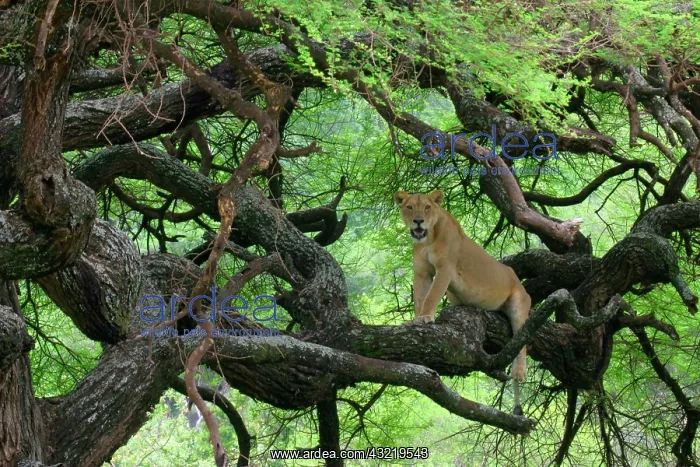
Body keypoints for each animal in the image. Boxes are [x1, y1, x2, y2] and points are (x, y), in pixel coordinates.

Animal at [394, 190, 531, 415]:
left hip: (520, 303)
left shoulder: (446, 268)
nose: (418, 221)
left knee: (523, 340)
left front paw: (424, 318)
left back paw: (519, 372)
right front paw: (414, 320)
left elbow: (431, 296)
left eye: (427, 207)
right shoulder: (421, 272)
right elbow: (420, 298)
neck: (427, 239)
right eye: (410, 207)